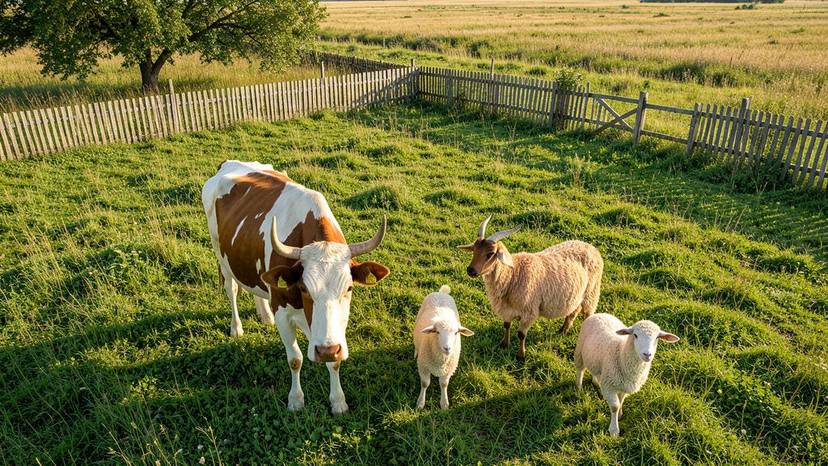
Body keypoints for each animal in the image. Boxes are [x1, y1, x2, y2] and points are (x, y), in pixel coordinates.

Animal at [202, 160, 390, 414]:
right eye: (304, 289)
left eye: (349, 289)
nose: (326, 350)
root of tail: (229, 163)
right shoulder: (283, 313)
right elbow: (295, 359)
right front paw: (296, 399)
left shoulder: (333, 333)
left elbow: (334, 363)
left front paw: (338, 401)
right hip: (220, 255)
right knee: (232, 290)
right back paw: (236, 328)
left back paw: (265, 315)